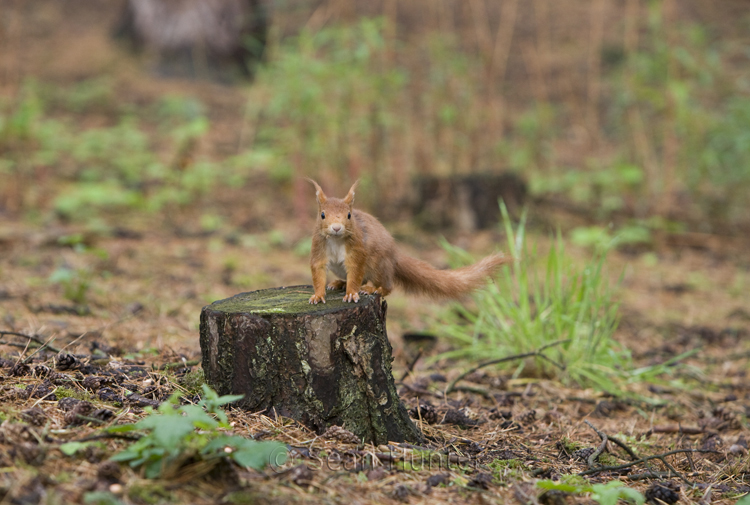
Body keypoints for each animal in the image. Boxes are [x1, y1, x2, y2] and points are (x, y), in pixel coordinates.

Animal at [307, 179, 510, 304]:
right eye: (322, 215)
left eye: (349, 215)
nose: (336, 228)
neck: (336, 240)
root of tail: (395, 257)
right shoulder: (318, 248)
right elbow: (318, 272)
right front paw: (318, 296)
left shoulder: (357, 249)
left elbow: (355, 272)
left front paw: (351, 293)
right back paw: (339, 283)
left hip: (379, 265)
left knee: (387, 285)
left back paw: (373, 289)